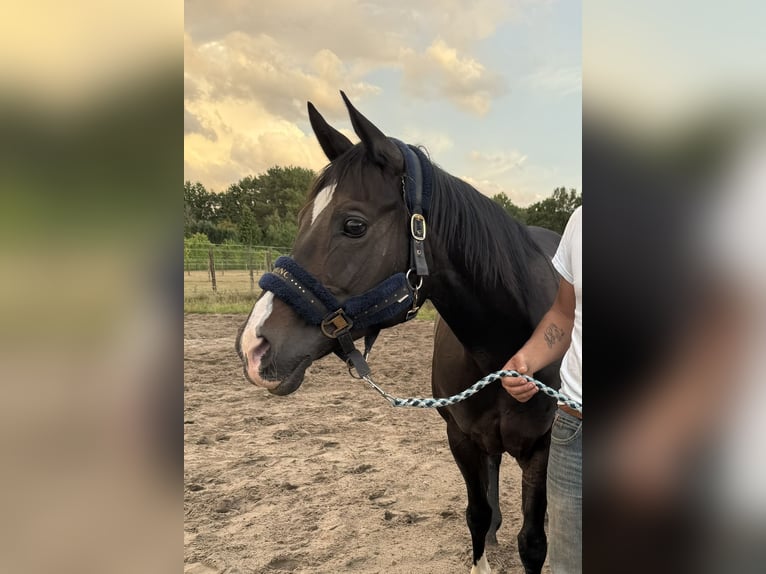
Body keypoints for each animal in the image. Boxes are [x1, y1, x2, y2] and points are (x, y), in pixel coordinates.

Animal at [236, 92, 562, 574]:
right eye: (300, 218)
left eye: (354, 224)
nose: (254, 346)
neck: (506, 347)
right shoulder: (461, 438)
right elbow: (478, 514)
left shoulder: (540, 447)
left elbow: (533, 541)